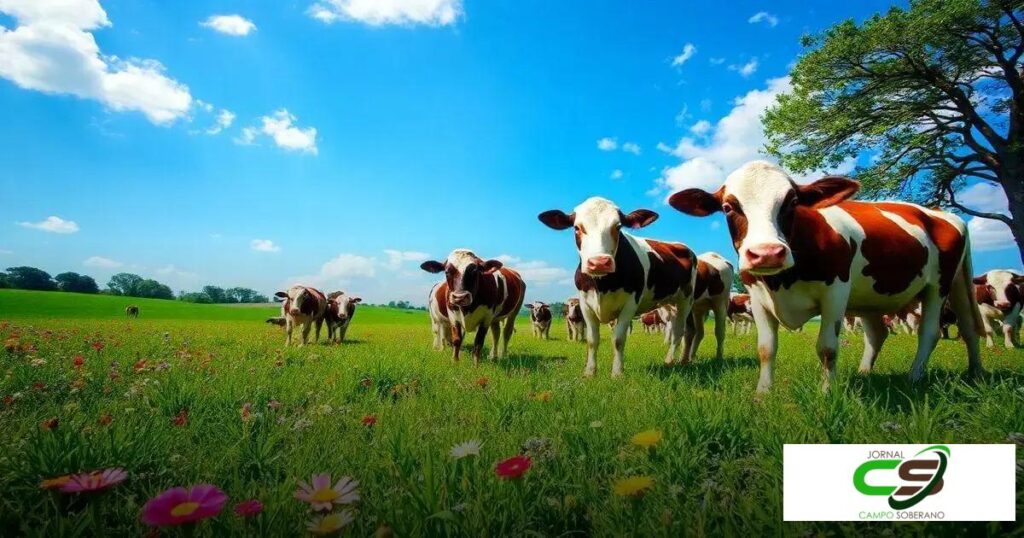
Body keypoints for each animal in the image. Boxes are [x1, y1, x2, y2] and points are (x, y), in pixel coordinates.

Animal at [539, 197, 697, 377]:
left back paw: (670, 360)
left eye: (618, 226)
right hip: (669, 303)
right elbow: (592, 340)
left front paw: (617, 373)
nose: (599, 262)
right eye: (577, 227)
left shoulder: (630, 304)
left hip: (686, 299)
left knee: (679, 330)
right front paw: (590, 372)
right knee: (681, 329)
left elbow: (618, 339)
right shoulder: (585, 305)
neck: (602, 285)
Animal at [668, 160, 985, 392]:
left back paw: (919, 377)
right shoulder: (757, 297)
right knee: (891, 333)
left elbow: (827, 348)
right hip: (875, 296)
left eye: (792, 202)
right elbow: (766, 348)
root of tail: (941, 213)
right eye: (727, 207)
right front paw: (762, 394)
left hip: (943, 284)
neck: (782, 281)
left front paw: (827, 393)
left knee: (936, 331)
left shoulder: (836, 292)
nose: (767, 253)